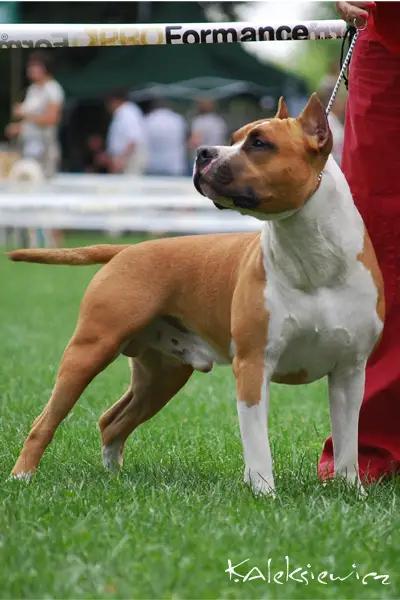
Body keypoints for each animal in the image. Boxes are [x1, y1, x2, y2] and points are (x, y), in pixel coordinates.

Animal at [7, 95, 384, 496]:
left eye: (259, 143)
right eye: (234, 138)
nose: (203, 152)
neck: (313, 258)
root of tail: (126, 249)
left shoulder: (349, 372)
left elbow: (347, 443)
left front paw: (352, 492)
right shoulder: (253, 366)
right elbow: (258, 443)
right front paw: (264, 493)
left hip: (161, 376)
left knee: (112, 421)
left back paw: (113, 477)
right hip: (88, 351)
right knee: (46, 421)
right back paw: (22, 476)